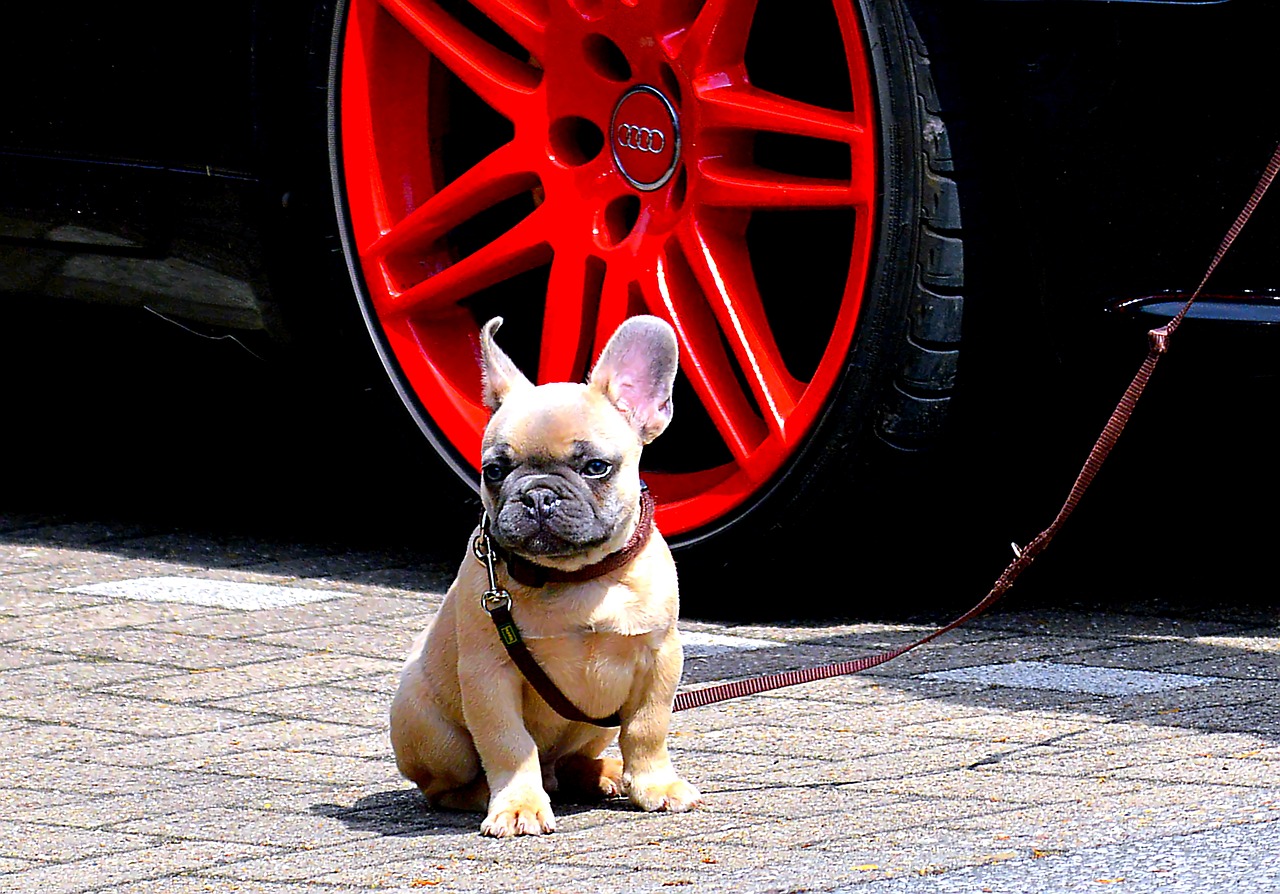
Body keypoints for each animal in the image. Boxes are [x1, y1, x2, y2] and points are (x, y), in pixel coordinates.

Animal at [389, 313, 701, 835]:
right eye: (494, 470)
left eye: (595, 467)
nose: (537, 495)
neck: (581, 578)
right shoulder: (489, 676)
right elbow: (509, 745)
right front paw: (518, 805)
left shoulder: (659, 658)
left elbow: (647, 728)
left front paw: (654, 784)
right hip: (427, 724)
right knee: (448, 786)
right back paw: (488, 794)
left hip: (593, 725)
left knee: (574, 759)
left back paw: (604, 773)